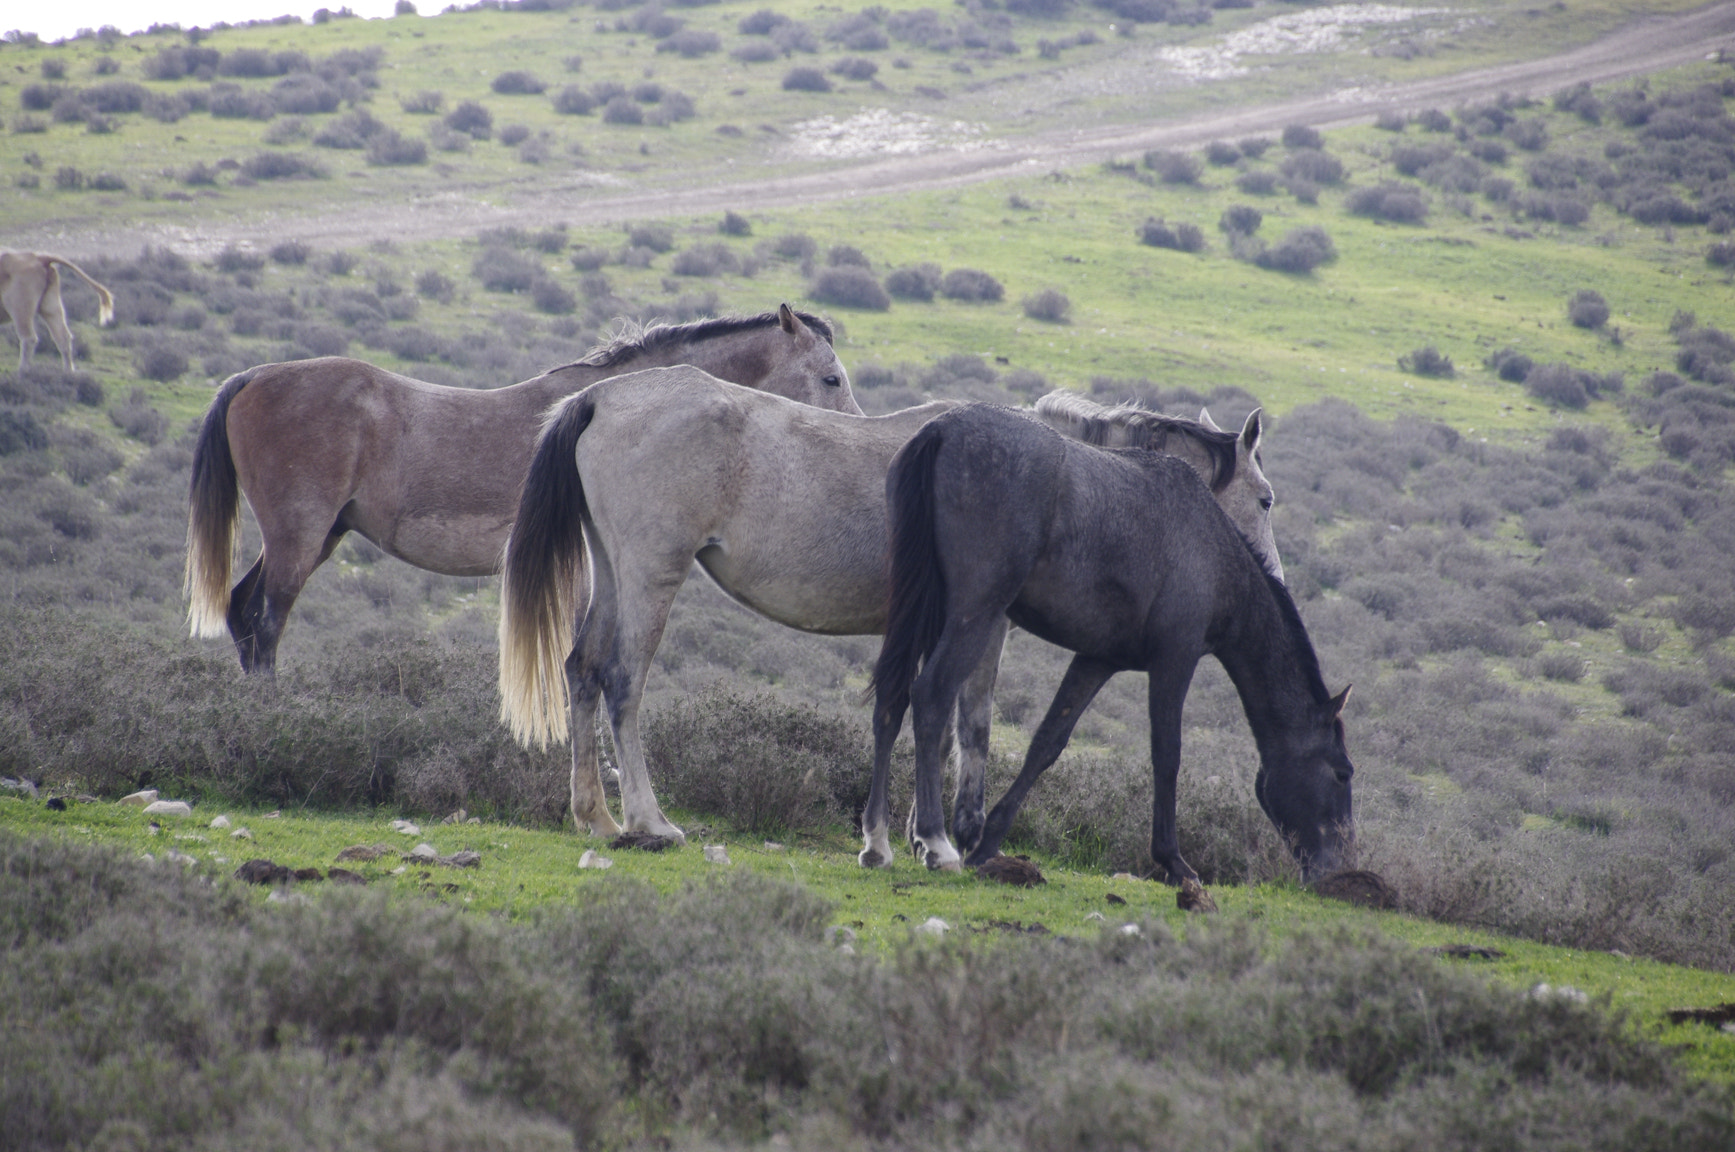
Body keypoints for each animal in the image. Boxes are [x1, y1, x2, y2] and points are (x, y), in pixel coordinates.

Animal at [186, 303, 857, 676]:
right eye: (831, 377)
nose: (852, 434)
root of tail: (253, 378)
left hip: (319, 536)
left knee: (243, 613)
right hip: (299, 536)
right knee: (267, 622)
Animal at [867, 404, 1353, 881]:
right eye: (1343, 773)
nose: (1336, 868)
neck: (1215, 553)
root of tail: (942, 430)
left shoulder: (1097, 659)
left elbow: (1047, 744)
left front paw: (988, 842)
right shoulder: (1175, 658)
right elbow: (1167, 754)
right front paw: (1173, 860)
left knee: (892, 701)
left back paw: (877, 843)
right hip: (975, 615)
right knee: (930, 696)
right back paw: (934, 842)